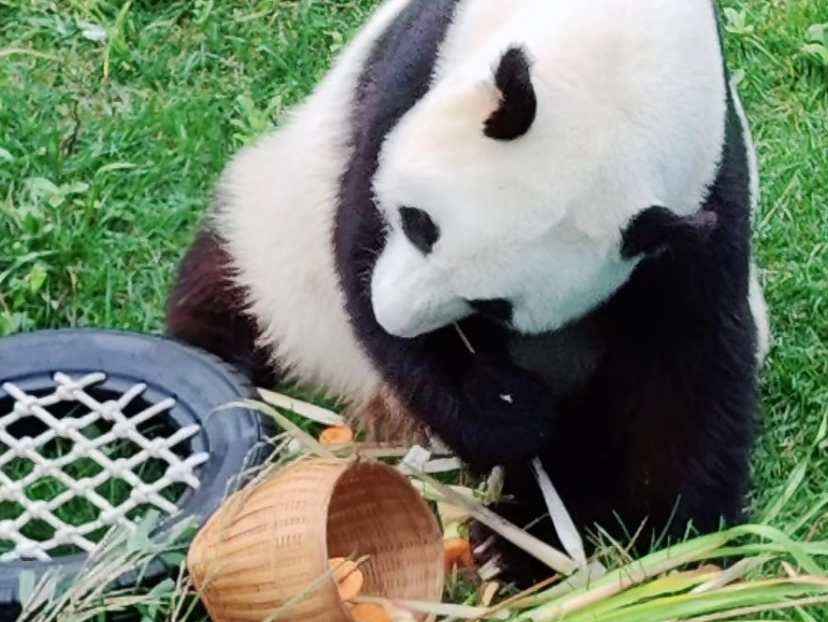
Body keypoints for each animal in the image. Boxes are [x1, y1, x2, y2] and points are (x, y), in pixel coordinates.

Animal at [167, 0, 768, 588]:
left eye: (494, 306)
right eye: (419, 223)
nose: (392, 313)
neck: (622, 50)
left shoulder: (703, 190)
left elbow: (687, 357)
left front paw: (689, 546)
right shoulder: (409, 80)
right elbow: (357, 244)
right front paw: (508, 413)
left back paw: (521, 542)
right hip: (277, 227)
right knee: (235, 280)